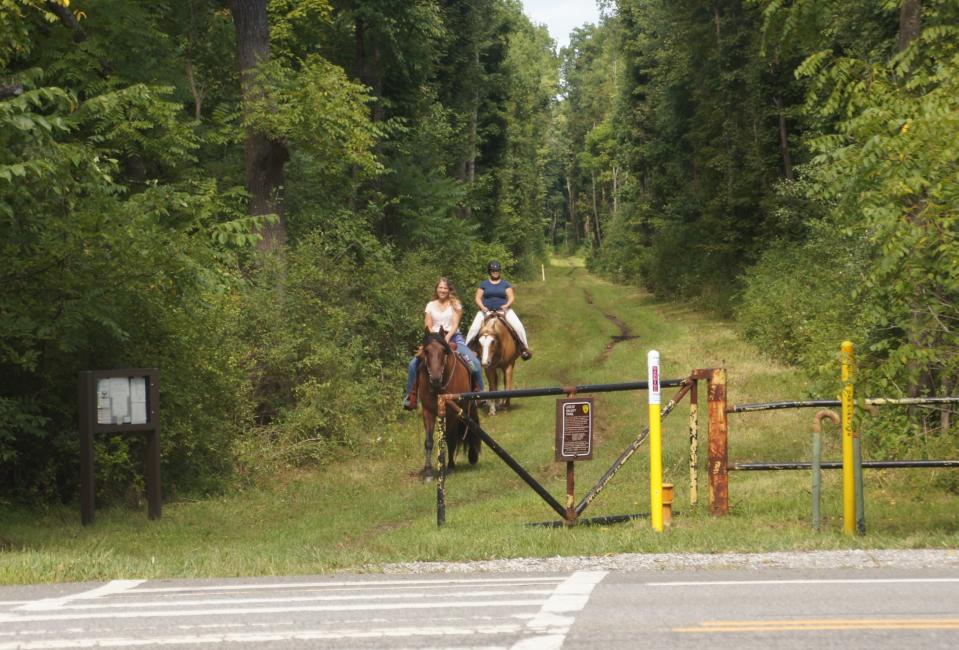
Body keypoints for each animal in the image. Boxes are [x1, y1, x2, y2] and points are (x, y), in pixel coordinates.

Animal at [418, 326, 484, 478]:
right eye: (426, 351)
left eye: (443, 351)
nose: (435, 379)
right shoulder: (428, 412)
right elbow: (428, 441)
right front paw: (428, 471)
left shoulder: (453, 414)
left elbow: (450, 438)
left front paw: (451, 467)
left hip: (469, 406)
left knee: (471, 425)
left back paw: (472, 456)